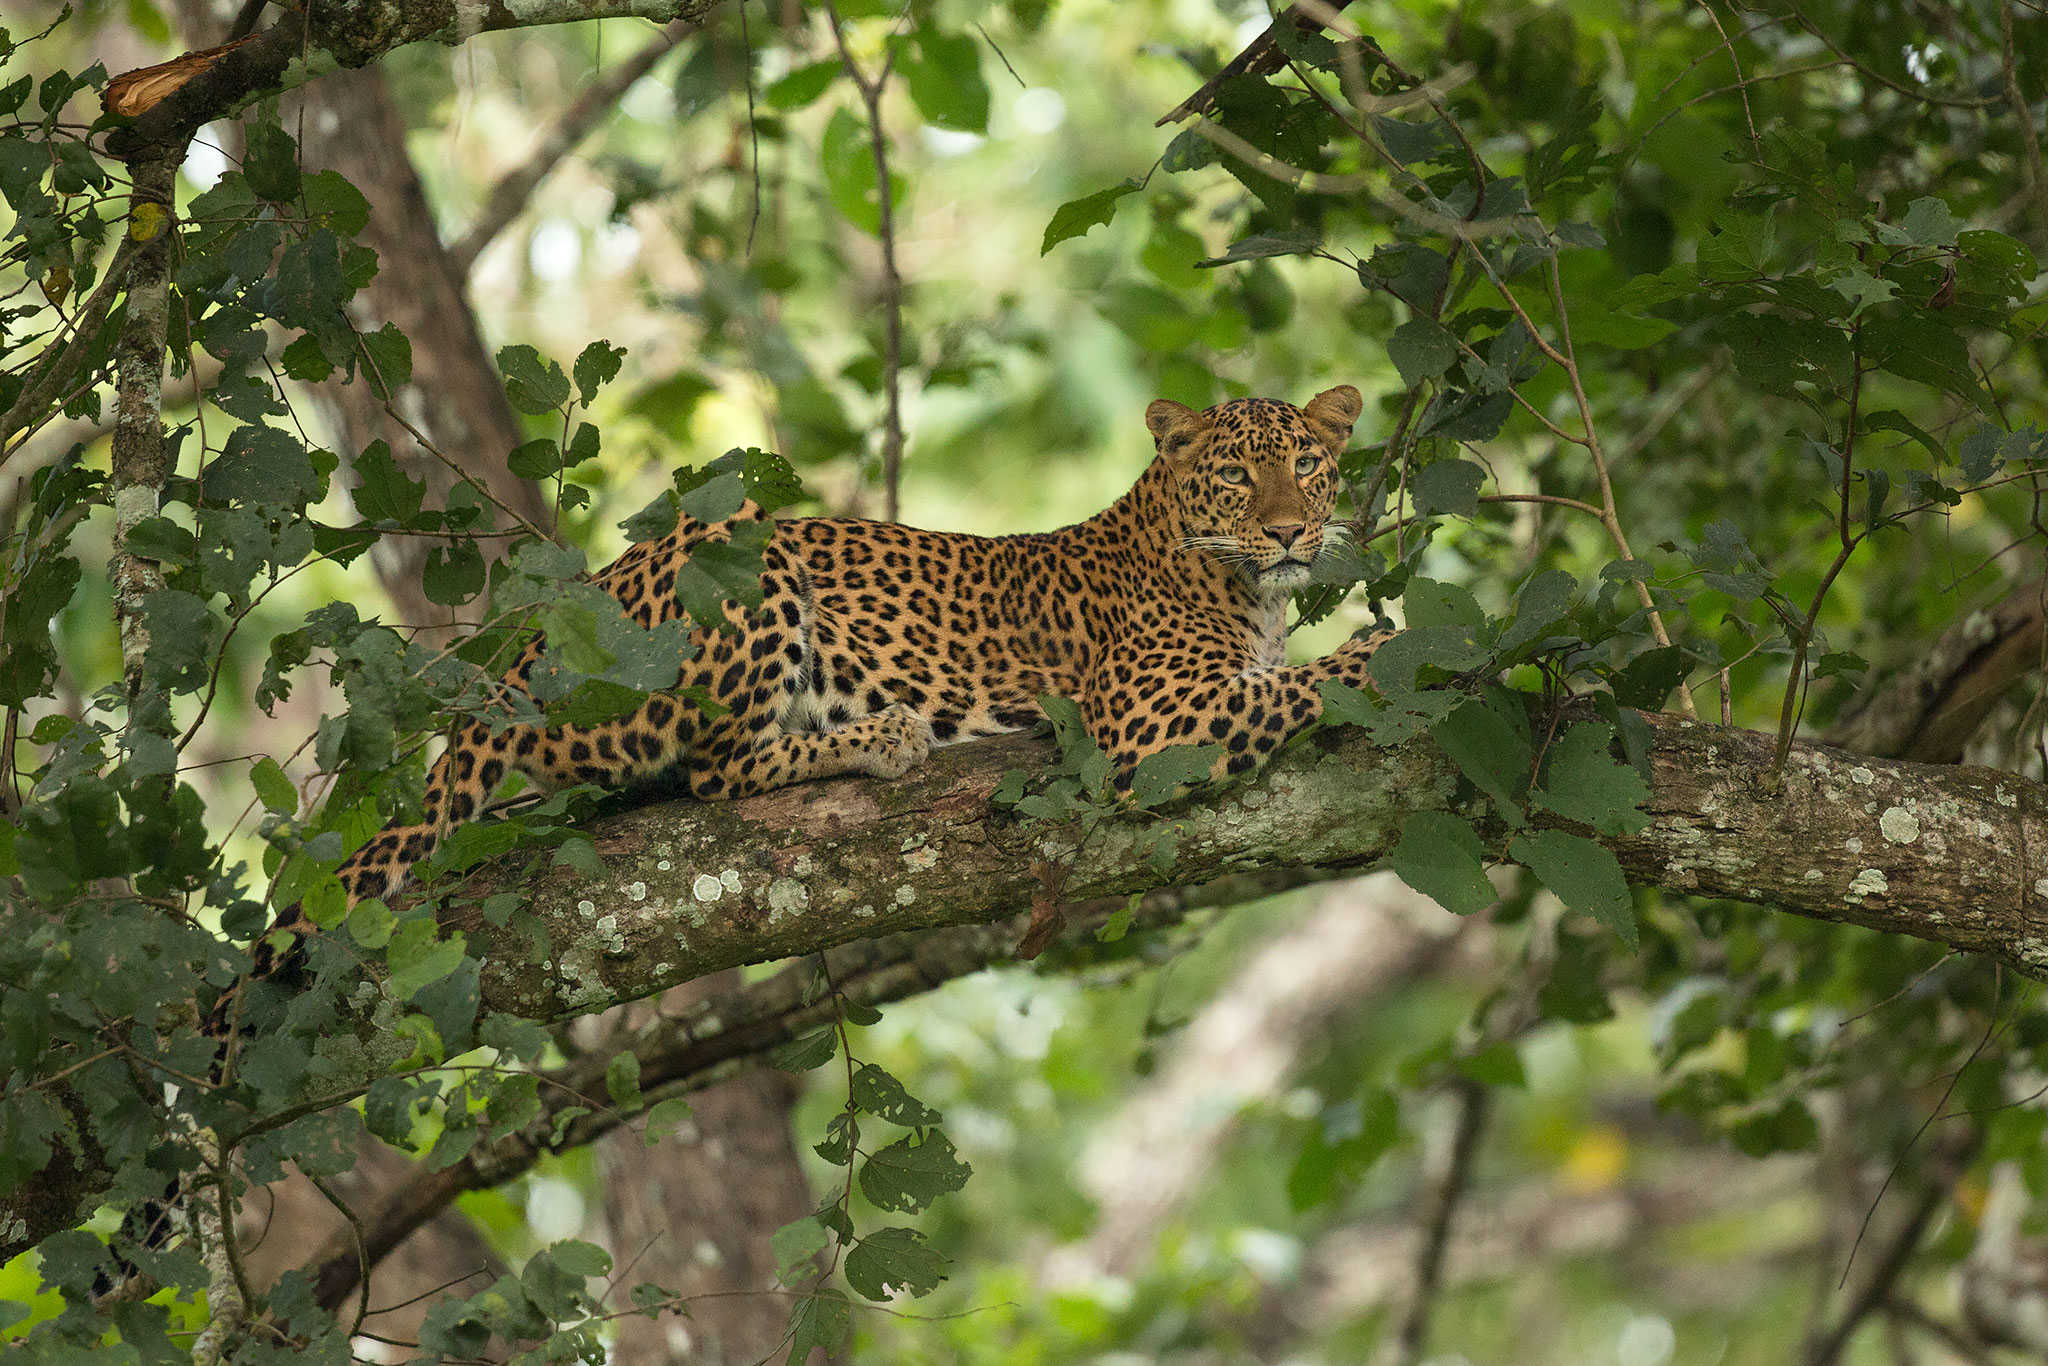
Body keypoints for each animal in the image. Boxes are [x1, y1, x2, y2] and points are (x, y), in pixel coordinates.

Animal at [332, 384, 1388, 905]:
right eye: (1234, 477)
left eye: (1307, 464)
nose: (1291, 532)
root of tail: (514, 665)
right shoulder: (1147, 726)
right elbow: (1310, 683)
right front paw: (1387, 651)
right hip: (741, 550)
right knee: (717, 770)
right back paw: (882, 735)